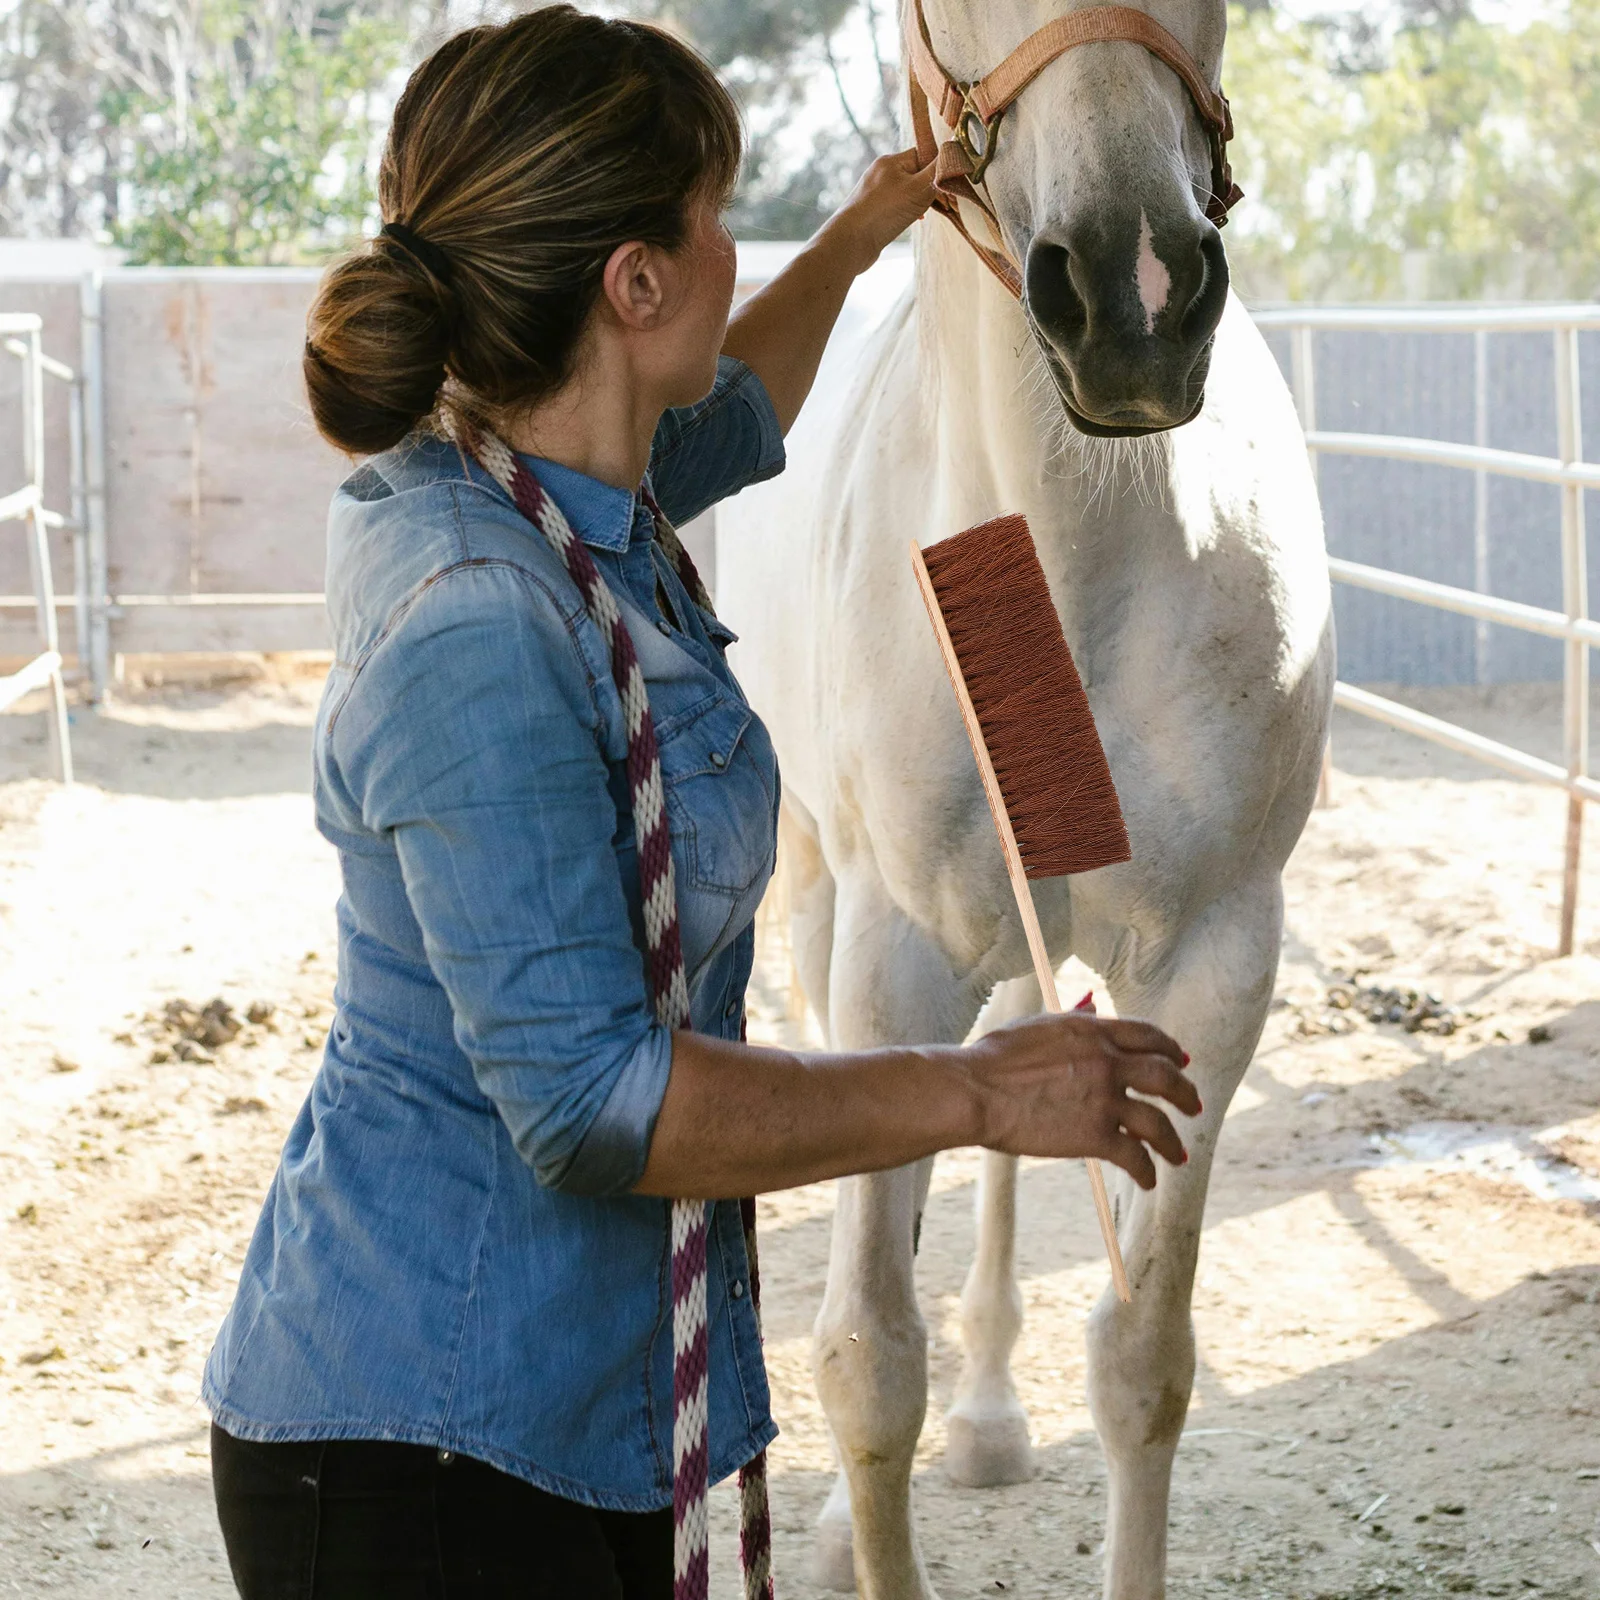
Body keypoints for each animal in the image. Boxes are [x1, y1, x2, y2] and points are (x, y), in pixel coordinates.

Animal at [716, 1, 1335, 1594]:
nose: (1132, 293)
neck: (1067, 563)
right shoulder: (892, 954)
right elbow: (869, 1358)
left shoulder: (1217, 962)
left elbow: (1143, 1360)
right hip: (826, 905)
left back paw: (992, 1414)